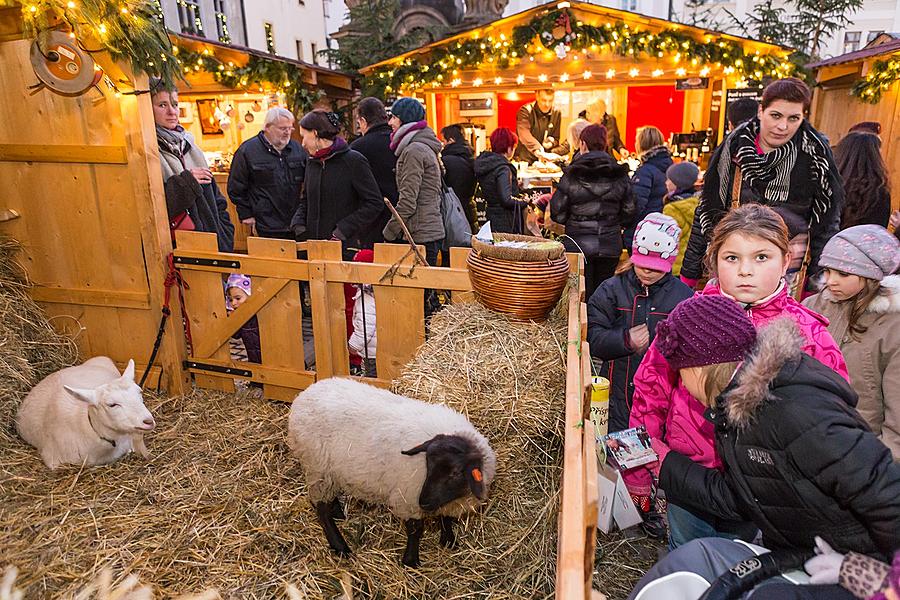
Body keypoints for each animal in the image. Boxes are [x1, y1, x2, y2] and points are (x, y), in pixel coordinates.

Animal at [288, 378, 496, 568]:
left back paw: (338, 513)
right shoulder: (408, 499)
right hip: (318, 468)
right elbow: (415, 530)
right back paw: (340, 547)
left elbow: (446, 518)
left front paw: (449, 540)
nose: (424, 502)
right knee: (321, 510)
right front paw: (410, 561)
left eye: (455, 473)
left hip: (329, 472)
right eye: (428, 464)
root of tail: (303, 396)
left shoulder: (441, 501)